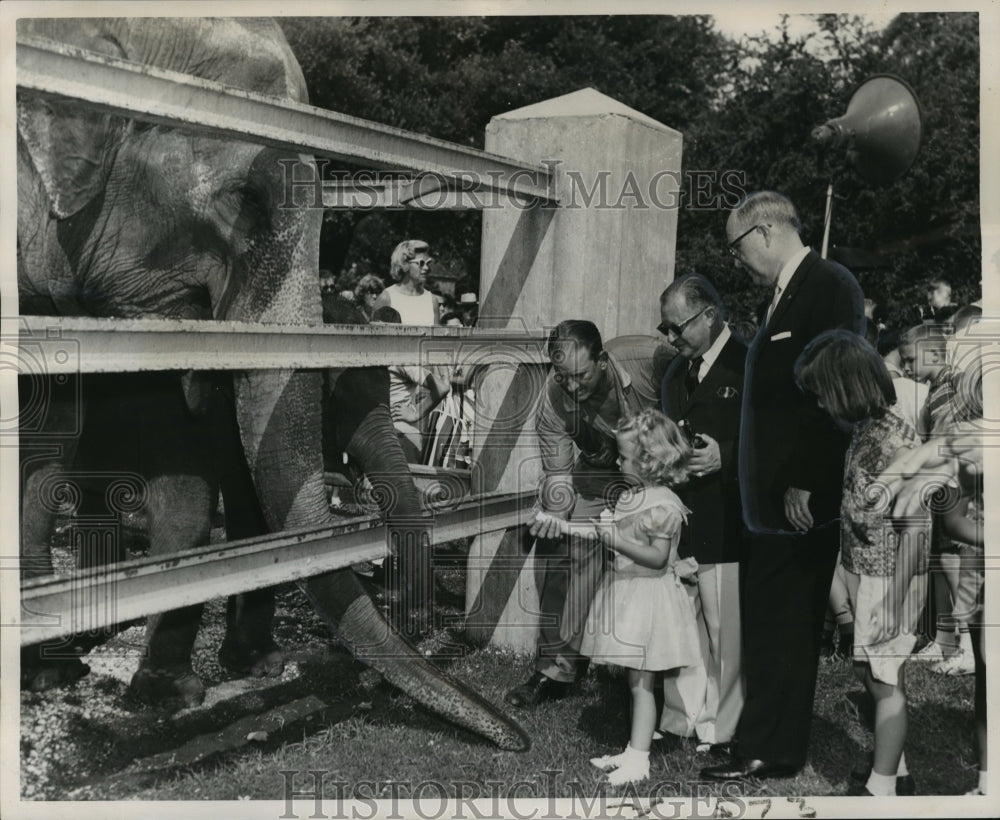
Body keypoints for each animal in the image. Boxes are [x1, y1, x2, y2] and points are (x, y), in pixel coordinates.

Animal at [15, 16, 532, 752]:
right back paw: (54, 665)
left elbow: (202, 483)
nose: (517, 736)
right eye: (247, 200)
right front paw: (182, 685)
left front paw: (214, 678)